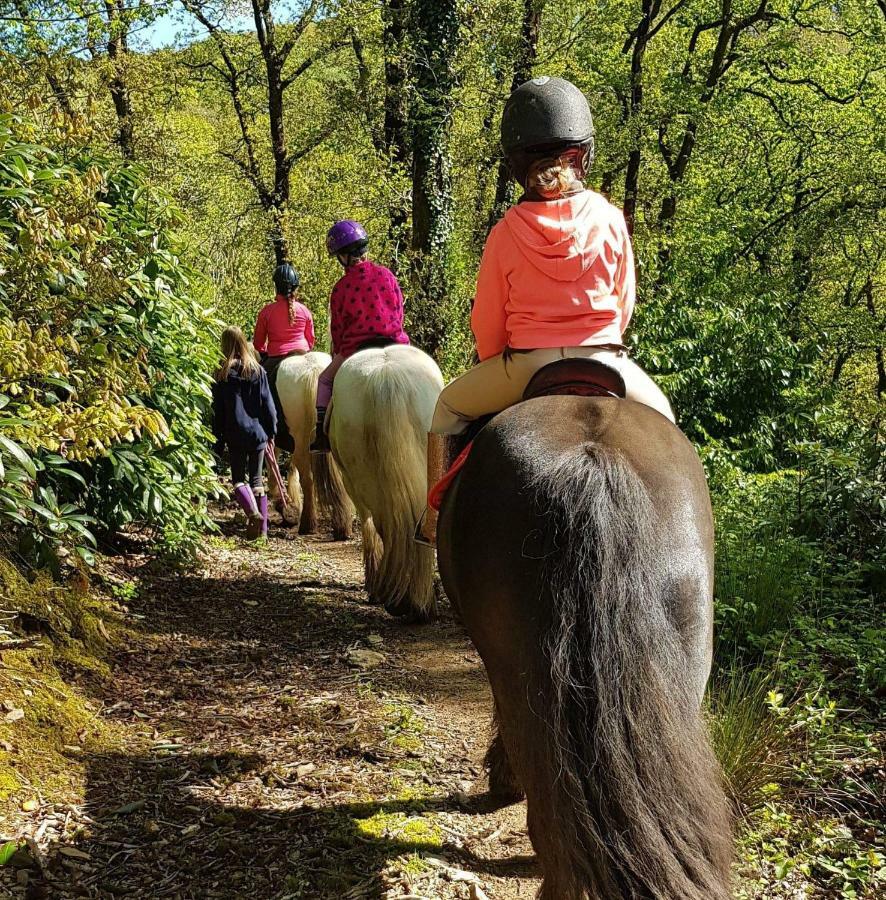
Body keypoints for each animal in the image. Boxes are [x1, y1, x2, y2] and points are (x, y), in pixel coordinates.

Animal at [330, 342, 444, 620]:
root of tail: (386, 378)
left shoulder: (351, 485)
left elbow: (368, 526)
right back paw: (418, 602)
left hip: (362, 481)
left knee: (384, 524)